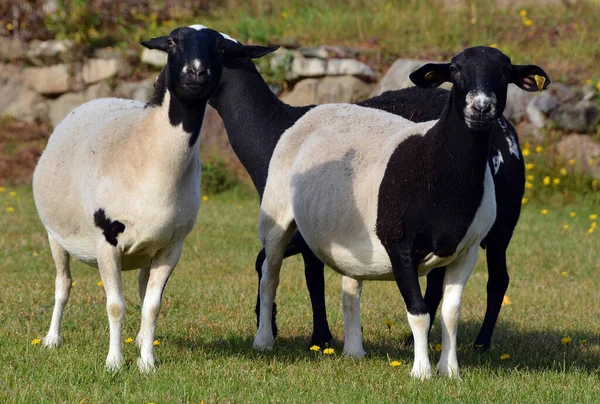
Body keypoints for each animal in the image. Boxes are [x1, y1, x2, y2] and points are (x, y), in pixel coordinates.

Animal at [32, 26, 274, 372]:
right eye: (172, 42)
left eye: (220, 48)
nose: (196, 72)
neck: (150, 154)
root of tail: (99, 99)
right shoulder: (106, 240)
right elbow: (115, 305)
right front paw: (114, 363)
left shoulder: (171, 248)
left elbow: (152, 306)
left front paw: (147, 363)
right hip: (55, 235)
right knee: (63, 285)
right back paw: (53, 339)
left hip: (147, 249)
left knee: (141, 290)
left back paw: (140, 343)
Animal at [253, 47, 548, 378]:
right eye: (455, 69)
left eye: (505, 72)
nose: (481, 107)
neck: (440, 171)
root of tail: (317, 110)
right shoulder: (399, 246)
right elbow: (419, 312)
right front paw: (421, 372)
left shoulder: (466, 251)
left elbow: (450, 314)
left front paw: (450, 371)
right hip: (276, 212)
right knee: (270, 275)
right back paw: (263, 340)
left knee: (350, 286)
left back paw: (354, 351)